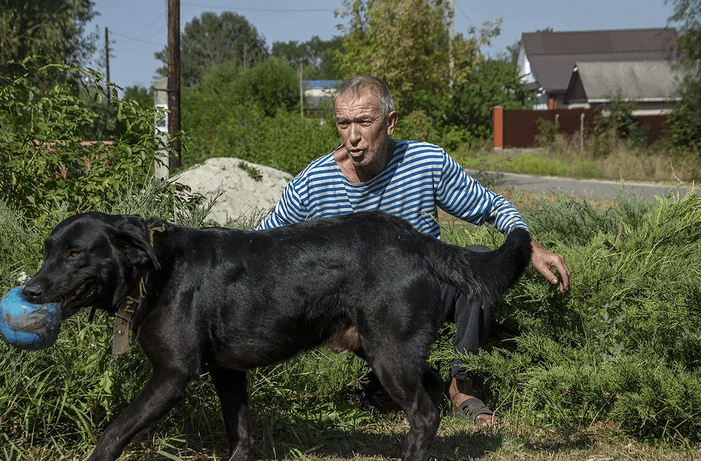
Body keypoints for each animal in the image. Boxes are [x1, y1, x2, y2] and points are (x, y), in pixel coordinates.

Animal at [23, 210, 532, 458]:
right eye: (47, 250)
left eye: (74, 253)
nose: (28, 291)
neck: (156, 268)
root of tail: (418, 240)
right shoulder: (228, 373)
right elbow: (241, 435)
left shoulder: (173, 376)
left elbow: (113, 434)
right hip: (389, 351)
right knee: (432, 396)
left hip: (389, 356)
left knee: (424, 415)